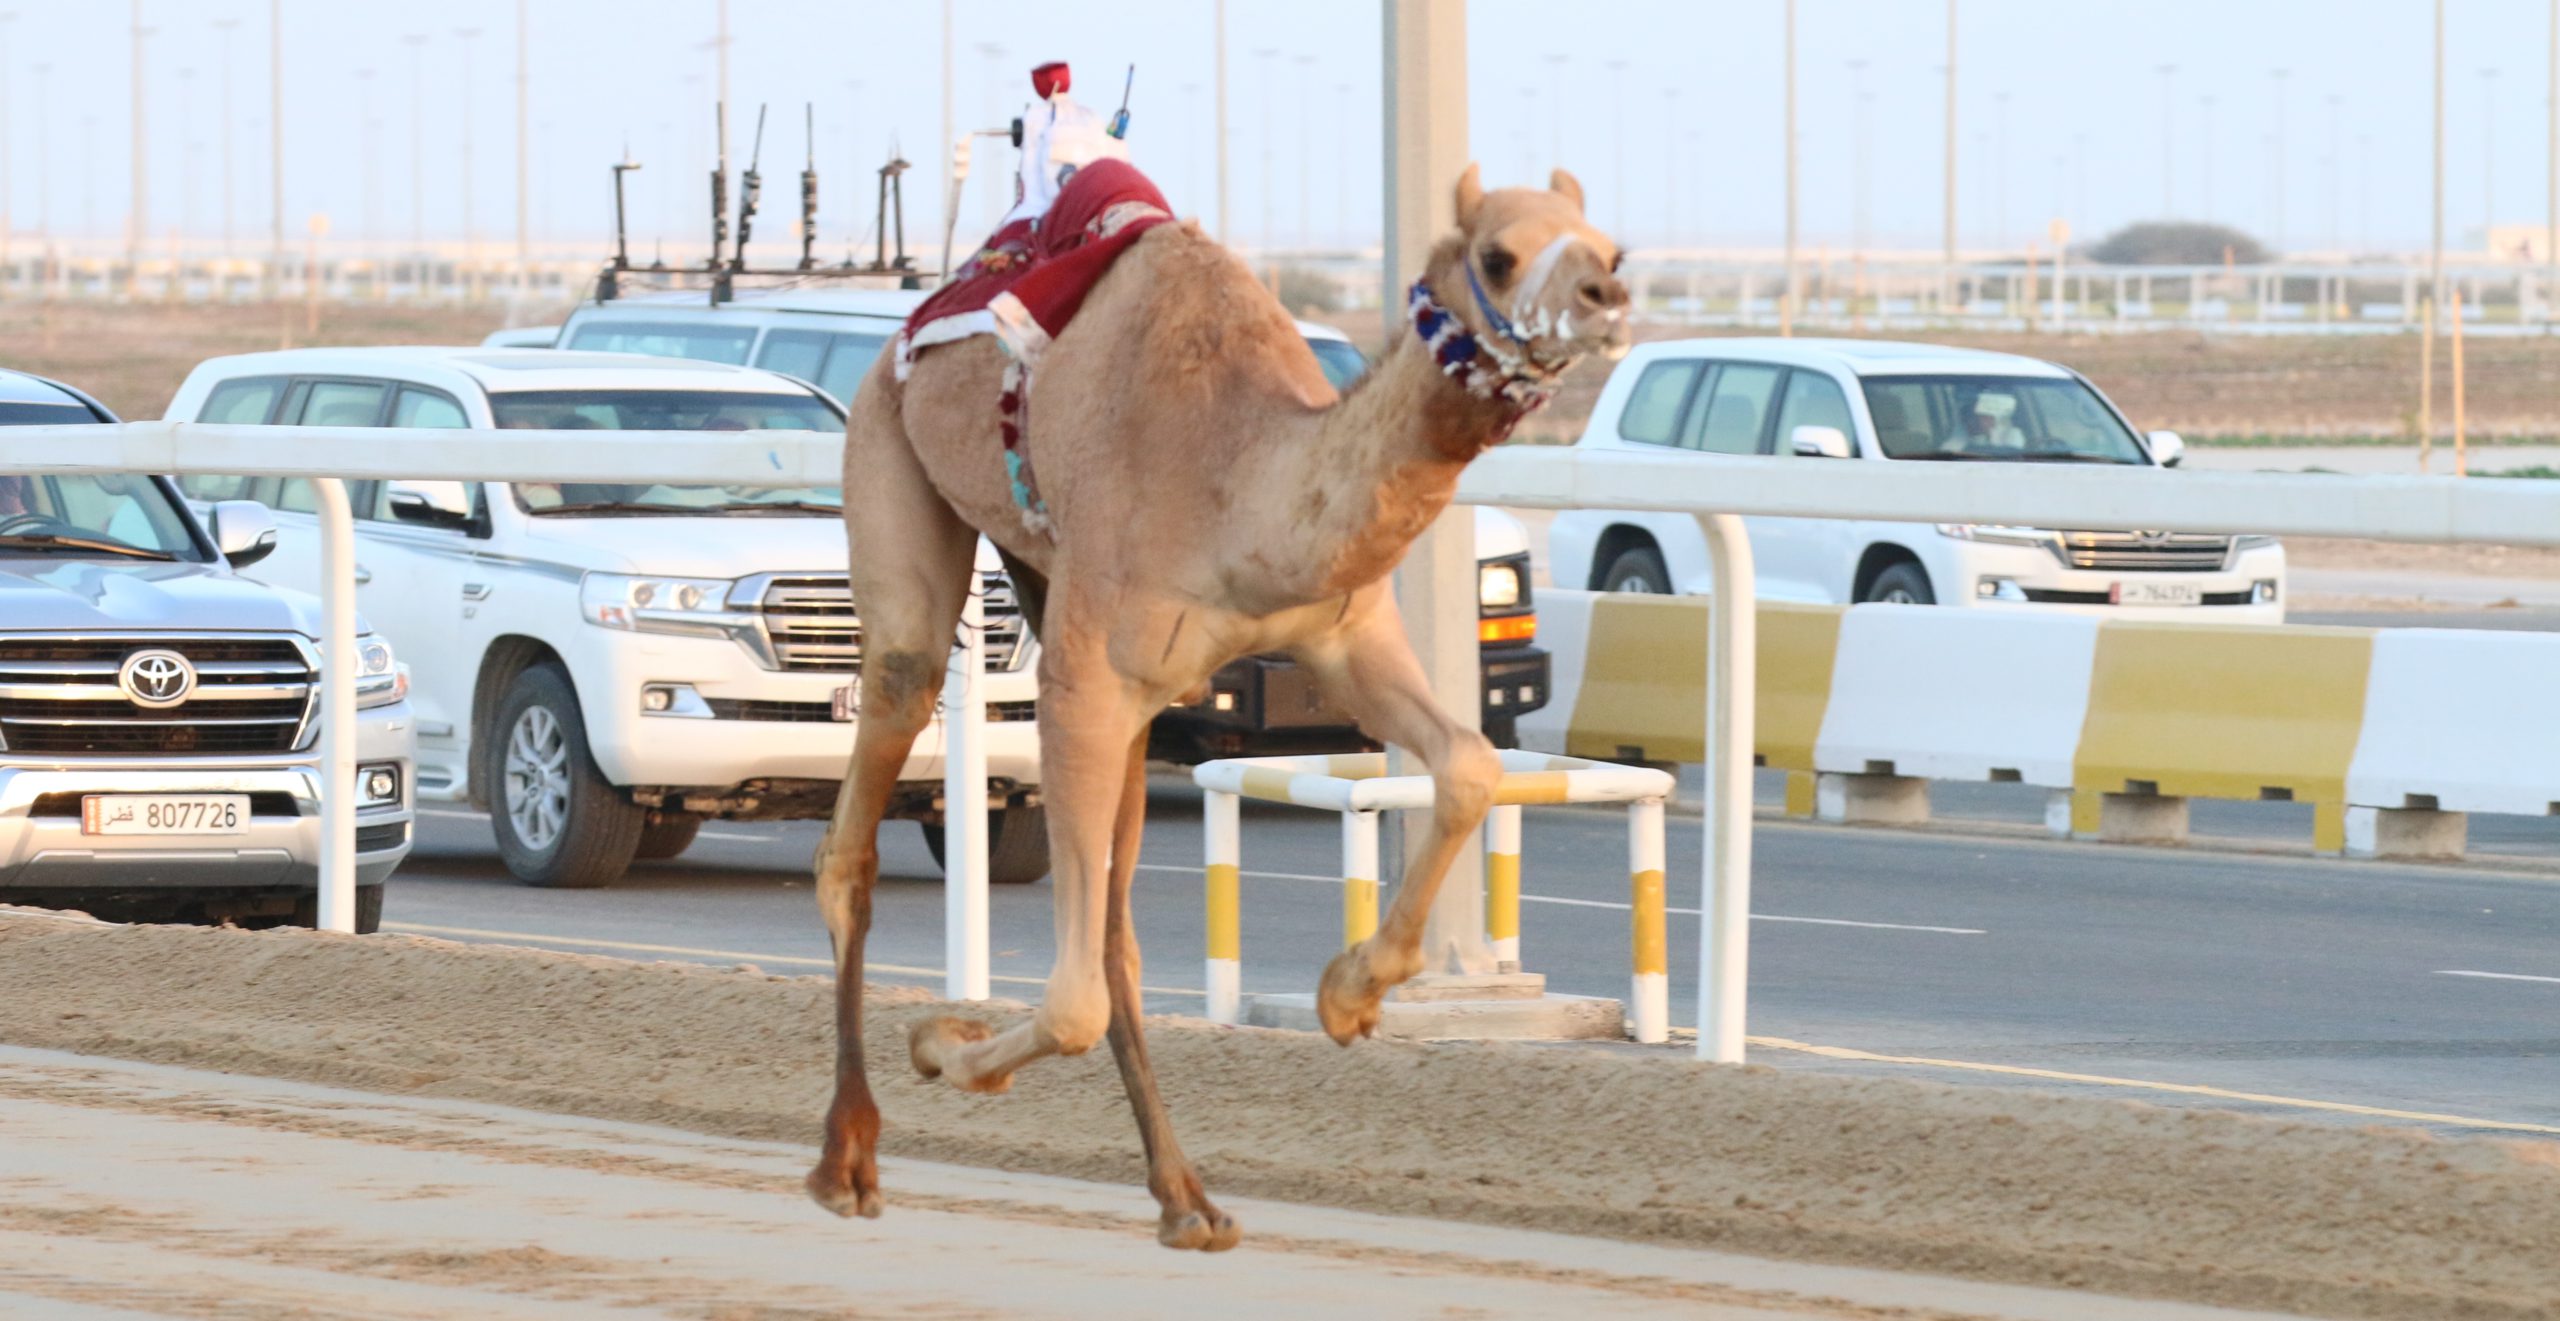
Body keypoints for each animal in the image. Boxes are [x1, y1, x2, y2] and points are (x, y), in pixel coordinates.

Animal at [808, 162, 1628, 1249]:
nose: (1607, 296)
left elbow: (1470, 763)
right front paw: (943, 1043)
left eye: (1608, 244)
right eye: (1497, 254)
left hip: (1079, 626)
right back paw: (847, 1157)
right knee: (858, 819)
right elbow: (1068, 1002)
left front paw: (1350, 994)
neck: (1238, 481)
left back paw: (1185, 1195)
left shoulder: (1343, 632)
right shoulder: (1083, 679)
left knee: (1112, 926)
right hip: (890, 465)